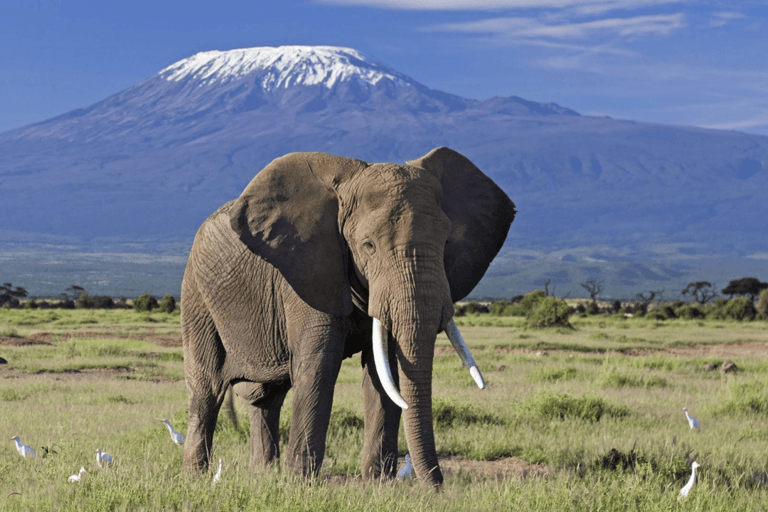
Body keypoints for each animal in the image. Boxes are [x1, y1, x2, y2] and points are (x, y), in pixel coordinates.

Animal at [180, 146, 516, 486]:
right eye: (368, 246)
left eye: (446, 242)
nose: (437, 488)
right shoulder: (309, 271)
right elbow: (320, 365)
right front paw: (301, 484)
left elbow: (384, 370)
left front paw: (378, 485)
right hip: (196, 294)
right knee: (207, 388)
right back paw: (196, 478)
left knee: (267, 396)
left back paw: (263, 476)